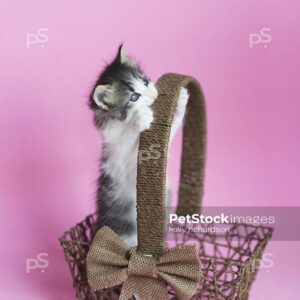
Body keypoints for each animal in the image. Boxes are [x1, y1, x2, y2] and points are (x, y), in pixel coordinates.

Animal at [89, 45, 189, 246]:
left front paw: (181, 99)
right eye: (134, 97)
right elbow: (129, 138)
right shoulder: (120, 152)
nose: (153, 94)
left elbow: (171, 128)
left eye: (145, 81)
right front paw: (140, 118)